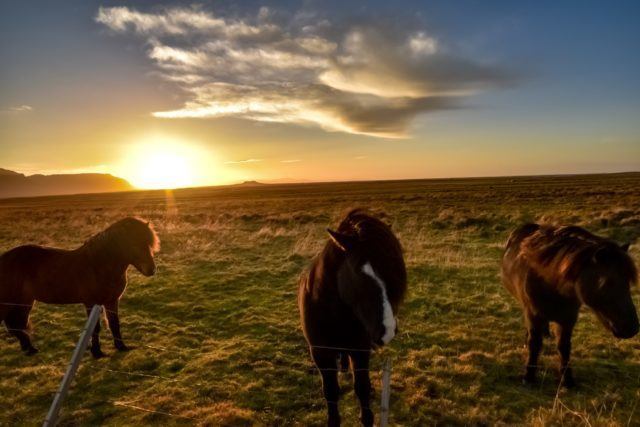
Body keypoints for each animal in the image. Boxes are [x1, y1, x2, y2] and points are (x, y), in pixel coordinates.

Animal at [0, 217, 159, 358]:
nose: (151, 270)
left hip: (24, 302)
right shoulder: (91, 303)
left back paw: (30, 349)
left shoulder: (112, 301)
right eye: (133, 244)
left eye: (149, 244)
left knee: (17, 325)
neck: (99, 265)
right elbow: (95, 328)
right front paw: (97, 353)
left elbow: (114, 323)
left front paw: (121, 347)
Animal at [298, 211, 404, 427]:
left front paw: (367, 418)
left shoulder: (360, 350)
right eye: (358, 272)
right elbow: (331, 391)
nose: (387, 330)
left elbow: (362, 388)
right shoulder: (321, 353)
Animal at [502, 224, 636, 388]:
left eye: (628, 281)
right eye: (607, 282)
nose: (632, 328)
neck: (549, 283)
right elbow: (534, 344)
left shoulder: (568, 318)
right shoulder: (533, 314)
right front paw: (529, 377)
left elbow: (564, 347)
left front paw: (567, 380)